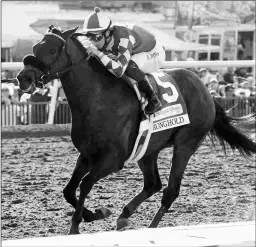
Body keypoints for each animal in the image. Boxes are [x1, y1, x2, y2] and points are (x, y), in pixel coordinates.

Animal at [16, 26, 256, 234]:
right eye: (36, 47)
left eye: (52, 50)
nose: (23, 78)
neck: (97, 99)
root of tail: (207, 92)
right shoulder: (87, 155)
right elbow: (69, 190)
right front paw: (93, 215)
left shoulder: (113, 159)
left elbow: (84, 185)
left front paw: (77, 225)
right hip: (147, 148)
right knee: (153, 184)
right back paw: (124, 215)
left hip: (186, 144)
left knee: (170, 190)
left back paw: (151, 227)